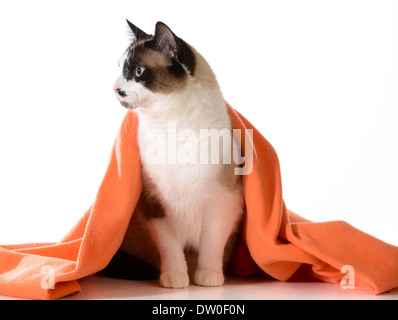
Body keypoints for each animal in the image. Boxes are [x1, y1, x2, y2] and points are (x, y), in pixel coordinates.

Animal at [110, 21, 244, 288]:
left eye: (138, 71)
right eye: (120, 69)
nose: (115, 88)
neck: (171, 127)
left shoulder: (223, 204)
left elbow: (211, 245)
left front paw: (208, 278)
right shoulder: (155, 207)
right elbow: (170, 249)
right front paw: (175, 280)